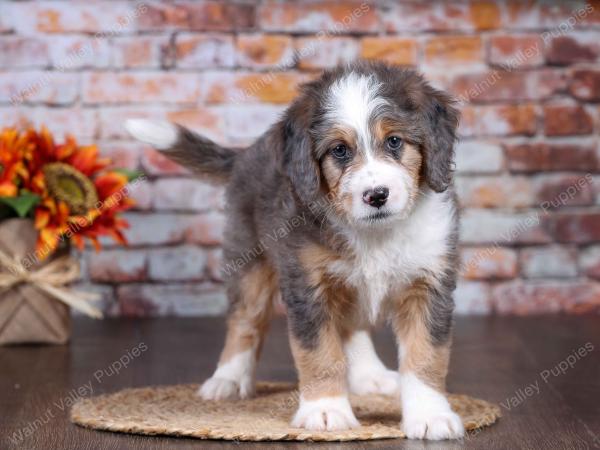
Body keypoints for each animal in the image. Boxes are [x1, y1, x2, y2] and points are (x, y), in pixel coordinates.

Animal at [125, 59, 464, 440]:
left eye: (394, 141)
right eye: (339, 150)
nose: (376, 195)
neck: (373, 234)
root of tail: (248, 152)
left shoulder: (429, 282)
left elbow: (426, 354)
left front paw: (430, 415)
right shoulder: (307, 284)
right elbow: (320, 353)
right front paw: (326, 410)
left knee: (350, 326)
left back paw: (369, 375)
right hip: (250, 260)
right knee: (245, 321)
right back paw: (228, 379)